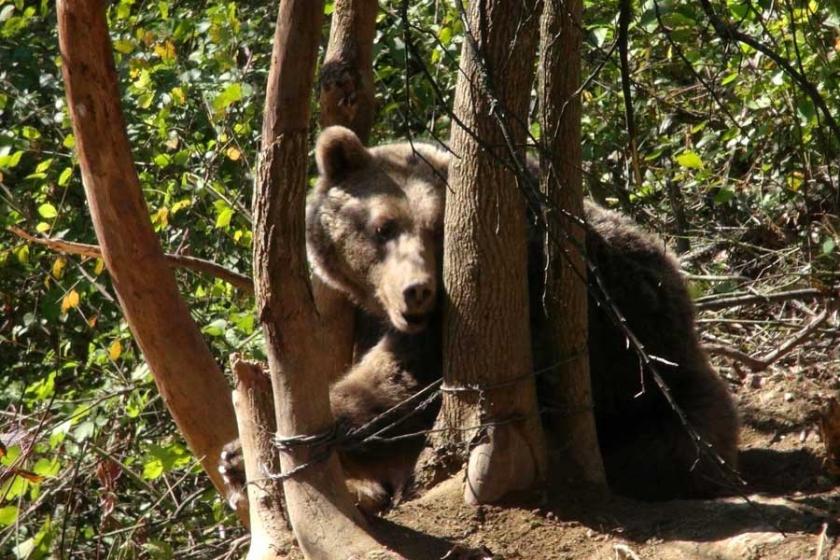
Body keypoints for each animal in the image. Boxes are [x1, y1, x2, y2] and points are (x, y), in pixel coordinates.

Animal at [220, 126, 740, 512]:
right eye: (384, 226)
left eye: (438, 230)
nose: (417, 289)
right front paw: (235, 456)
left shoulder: (514, 301)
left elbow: (399, 389)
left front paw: (251, 450)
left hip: (654, 390)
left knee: (674, 445)